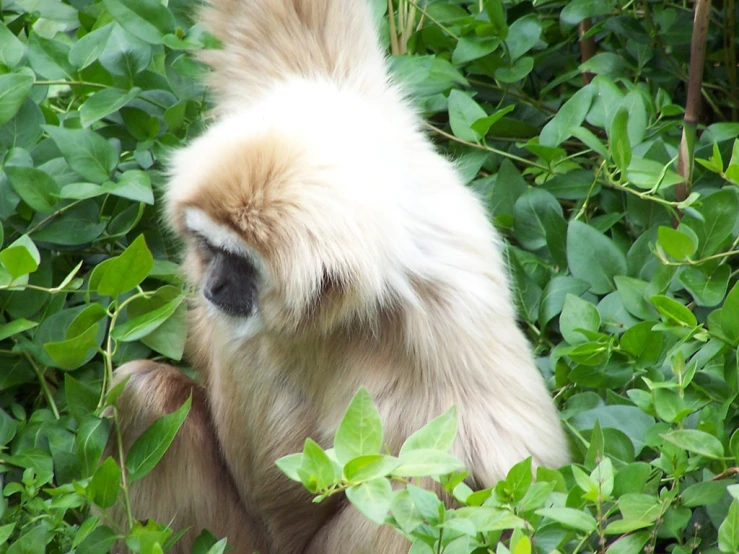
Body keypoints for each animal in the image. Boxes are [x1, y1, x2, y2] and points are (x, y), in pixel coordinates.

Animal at [111, 0, 572, 548]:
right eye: (209, 247)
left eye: (240, 264)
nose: (213, 285)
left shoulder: (446, 318)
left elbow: (512, 470)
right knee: (143, 393)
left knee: (414, 483)